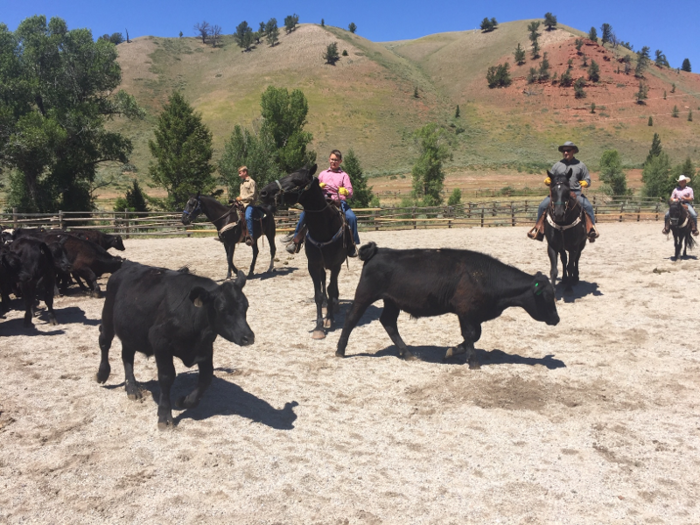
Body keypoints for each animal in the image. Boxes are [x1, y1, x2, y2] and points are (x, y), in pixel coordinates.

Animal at [95, 260, 254, 428]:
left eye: (246, 306)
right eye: (222, 309)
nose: (248, 337)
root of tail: (127, 266)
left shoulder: (205, 346)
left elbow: (206, 377)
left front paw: (185, 401)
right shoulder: (160, 341)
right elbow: (167, 377)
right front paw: (165, 416)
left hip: (130, 331)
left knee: (127, 356)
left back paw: (132, 388)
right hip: (108, 318)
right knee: (104, 342)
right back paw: (102, 374)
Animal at [260, 163, 352, 340]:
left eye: (296, 180)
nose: (263, 192)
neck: (324, 228)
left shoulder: (335, 264)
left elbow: (331, 289)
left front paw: (329, 318)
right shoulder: (314, 265)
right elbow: (318, 294)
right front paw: (319, 327)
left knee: (333, 285)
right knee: (324, 282)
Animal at [336, 244, 560, 366]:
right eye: (547, 296)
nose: (557, 319)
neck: (485, 276)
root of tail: (379, 251)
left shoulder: (472, 315)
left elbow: (474, 336)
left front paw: (453, 351)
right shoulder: (465, 312)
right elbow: (471, 335)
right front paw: (472, 361)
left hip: (392, 301)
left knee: (389, 322)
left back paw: (407, 353)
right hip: (365, 295)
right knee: (351, 318)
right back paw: (340, 350)